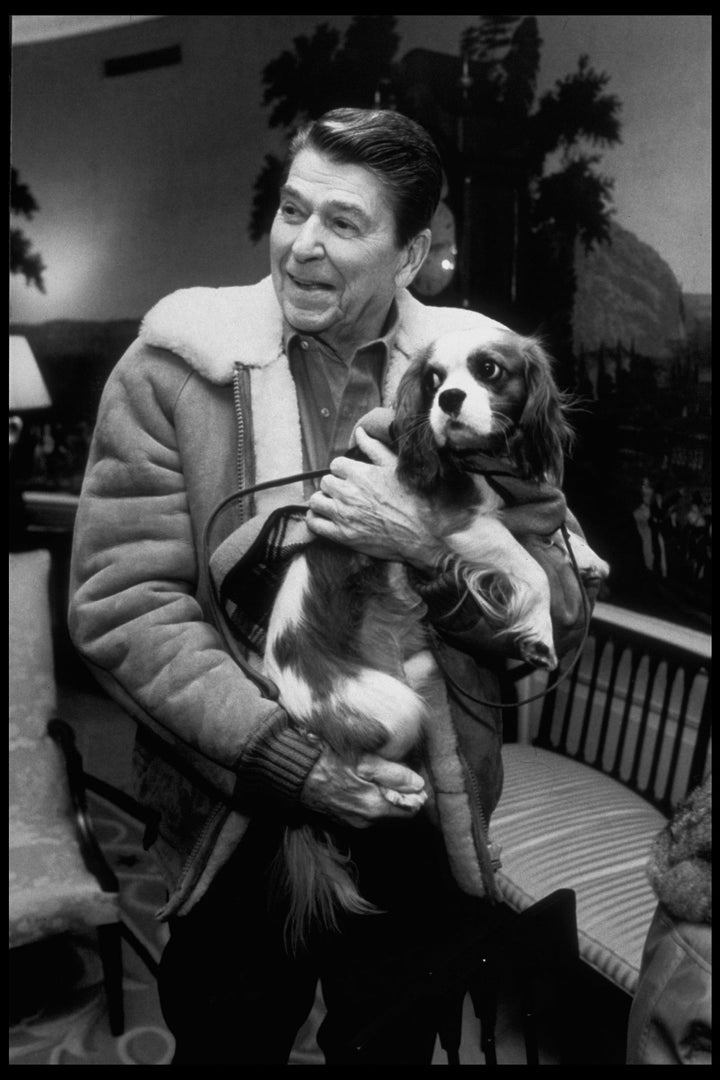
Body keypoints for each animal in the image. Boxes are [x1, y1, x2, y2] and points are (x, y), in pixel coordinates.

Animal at [263, 324, 608, 950]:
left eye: (489, 369)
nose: (448, 401)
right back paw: (399, 788)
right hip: (396, 709)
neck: (489, 463)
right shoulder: (464, 524)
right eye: (433, 379)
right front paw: (538, 633)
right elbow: (528, 568)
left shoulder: (522, 507)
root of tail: (282, 693)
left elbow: (557, 525)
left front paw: (589, 557)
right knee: (352, 764)